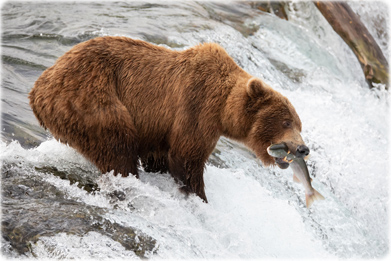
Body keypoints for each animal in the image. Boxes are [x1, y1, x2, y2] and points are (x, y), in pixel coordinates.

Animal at [29, 36, 310, 201]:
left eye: (299, 124)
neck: (223, 109)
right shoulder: (196, 107)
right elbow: (187, 157)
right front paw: (198, 196)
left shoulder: (159, 128)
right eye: (286, 122)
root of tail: (38, 87)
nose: (303, 149)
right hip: (90, 98)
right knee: (116, 145)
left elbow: (160, 156)